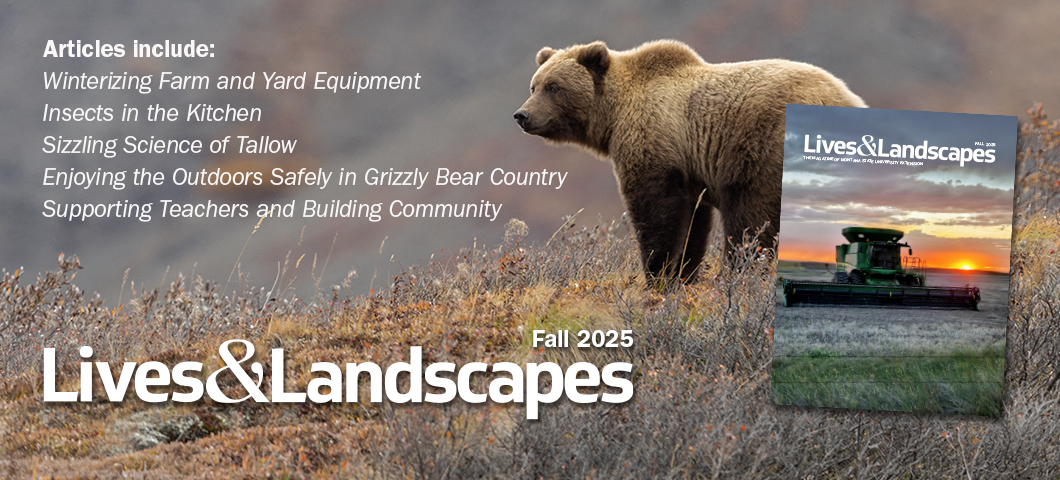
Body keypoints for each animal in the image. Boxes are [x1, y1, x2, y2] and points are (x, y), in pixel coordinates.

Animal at [514, 39, 866, 283]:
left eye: (554, 87)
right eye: (534, 85)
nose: (522, 115)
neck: (613, 117)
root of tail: (850, 101)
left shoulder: (656, 144)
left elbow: (658, 215)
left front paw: (658, 275)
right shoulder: (692, 171)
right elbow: (693, 226)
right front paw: (683, 275)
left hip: (762, 152)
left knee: (751, 221)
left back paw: (740, 277)